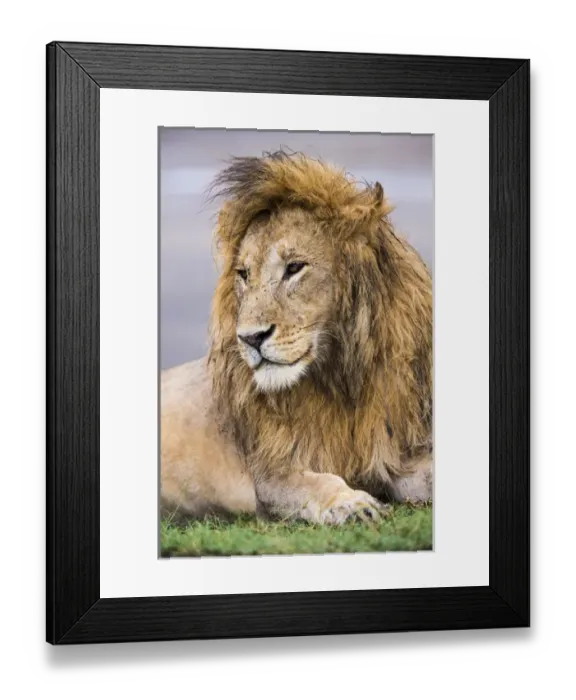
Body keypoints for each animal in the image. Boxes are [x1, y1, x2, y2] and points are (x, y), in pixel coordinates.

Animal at [161, 150, 433, 526]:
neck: (340, 380)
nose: (250, 338)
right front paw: (351, 503)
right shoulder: (272, 475)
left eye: (294, 268)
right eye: (243, 274)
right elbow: (319, 483)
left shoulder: (396, 452)